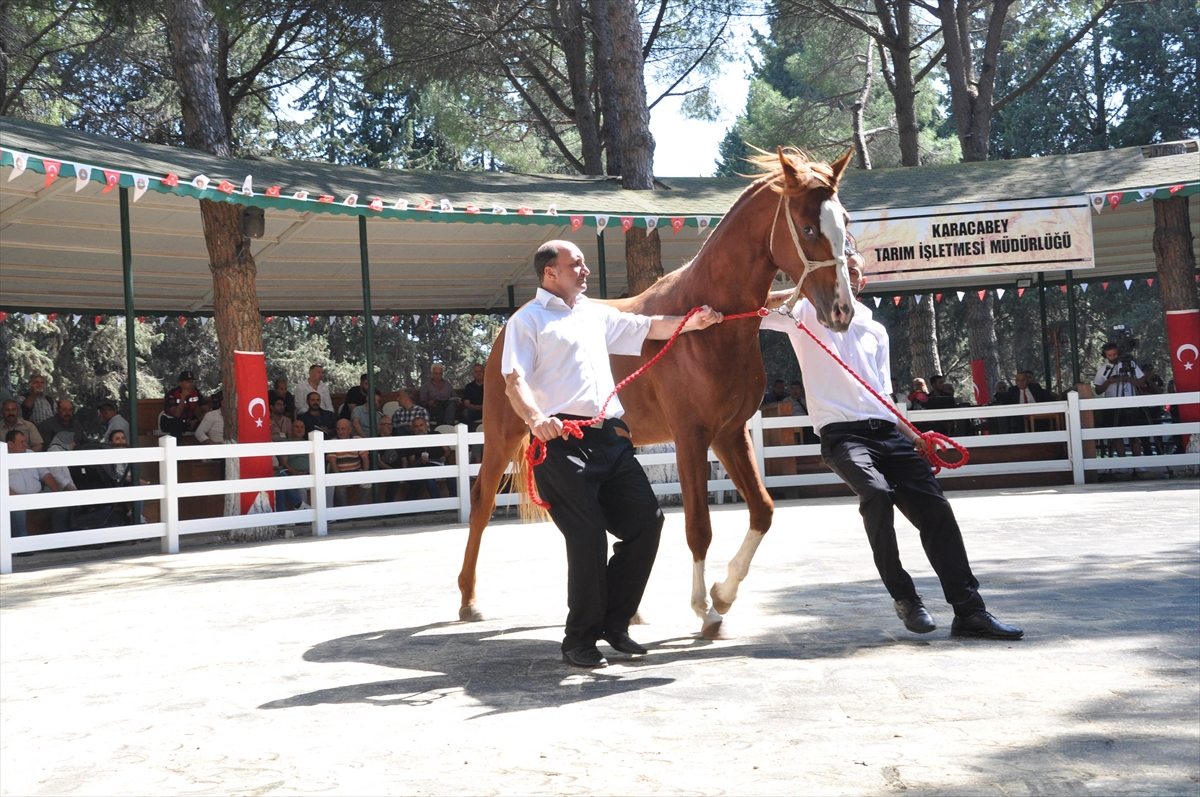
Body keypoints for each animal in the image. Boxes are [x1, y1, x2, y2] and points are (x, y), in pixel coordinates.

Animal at [456, 147, 854, 633]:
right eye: (809, 227)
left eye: (845, 221)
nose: (842, 310)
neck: (712, 326)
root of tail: (507, 329)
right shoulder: (691, 436)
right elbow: (698, 527)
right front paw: (705, 609)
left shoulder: (730, 432)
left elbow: (762, 510)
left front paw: (723, 595)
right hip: (502, 434)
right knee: (482, 504)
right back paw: (469, 601)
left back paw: (630, 608)